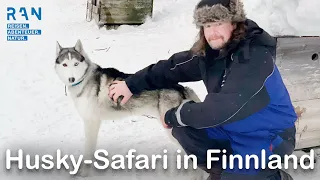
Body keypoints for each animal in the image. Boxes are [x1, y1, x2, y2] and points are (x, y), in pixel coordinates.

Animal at [54, 39, 200, 176]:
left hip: (172, 130)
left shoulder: (91, 122)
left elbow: (88, 151)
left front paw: (84, 173)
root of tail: (181, 88)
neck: (85, 79)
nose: (71, 79)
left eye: (76, 64)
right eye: (65, 64)